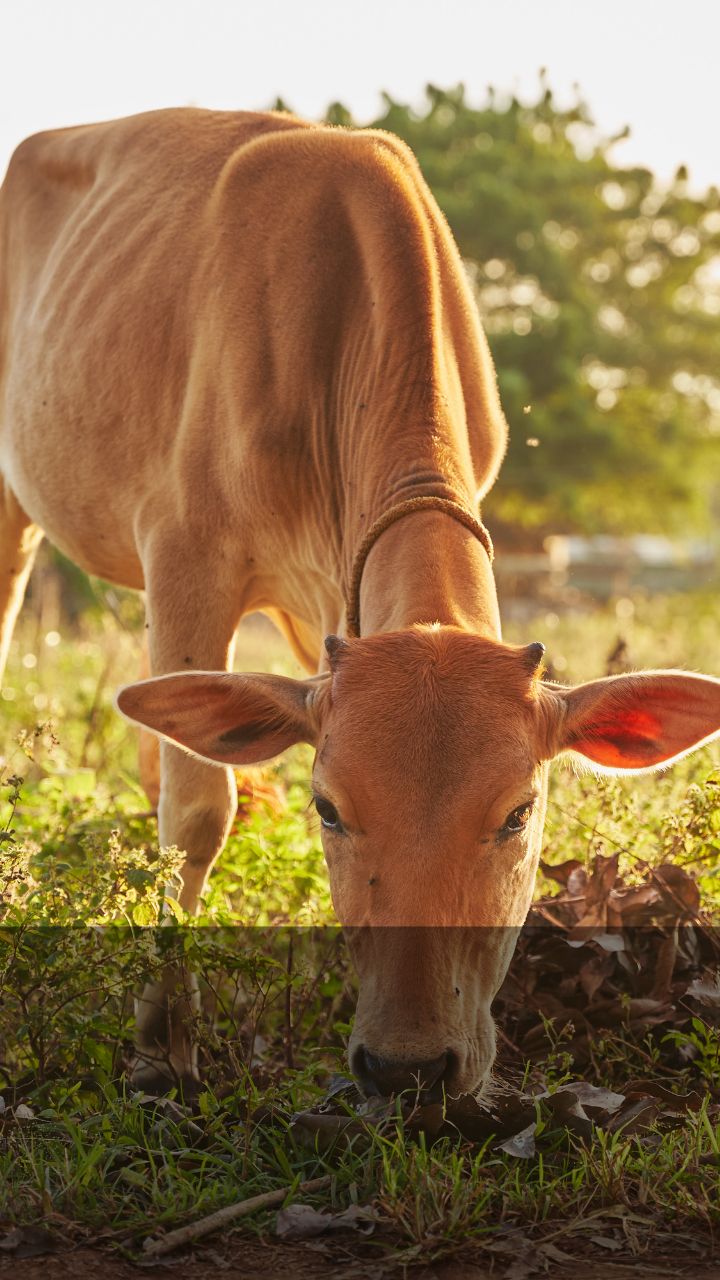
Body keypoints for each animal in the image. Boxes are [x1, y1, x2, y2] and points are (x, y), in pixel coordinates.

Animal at [1, 104, 717, 1095]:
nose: (407, 1066)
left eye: (519, 812)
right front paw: (163, 1037)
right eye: (329, 807)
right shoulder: (184, 553)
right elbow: (198, 813)